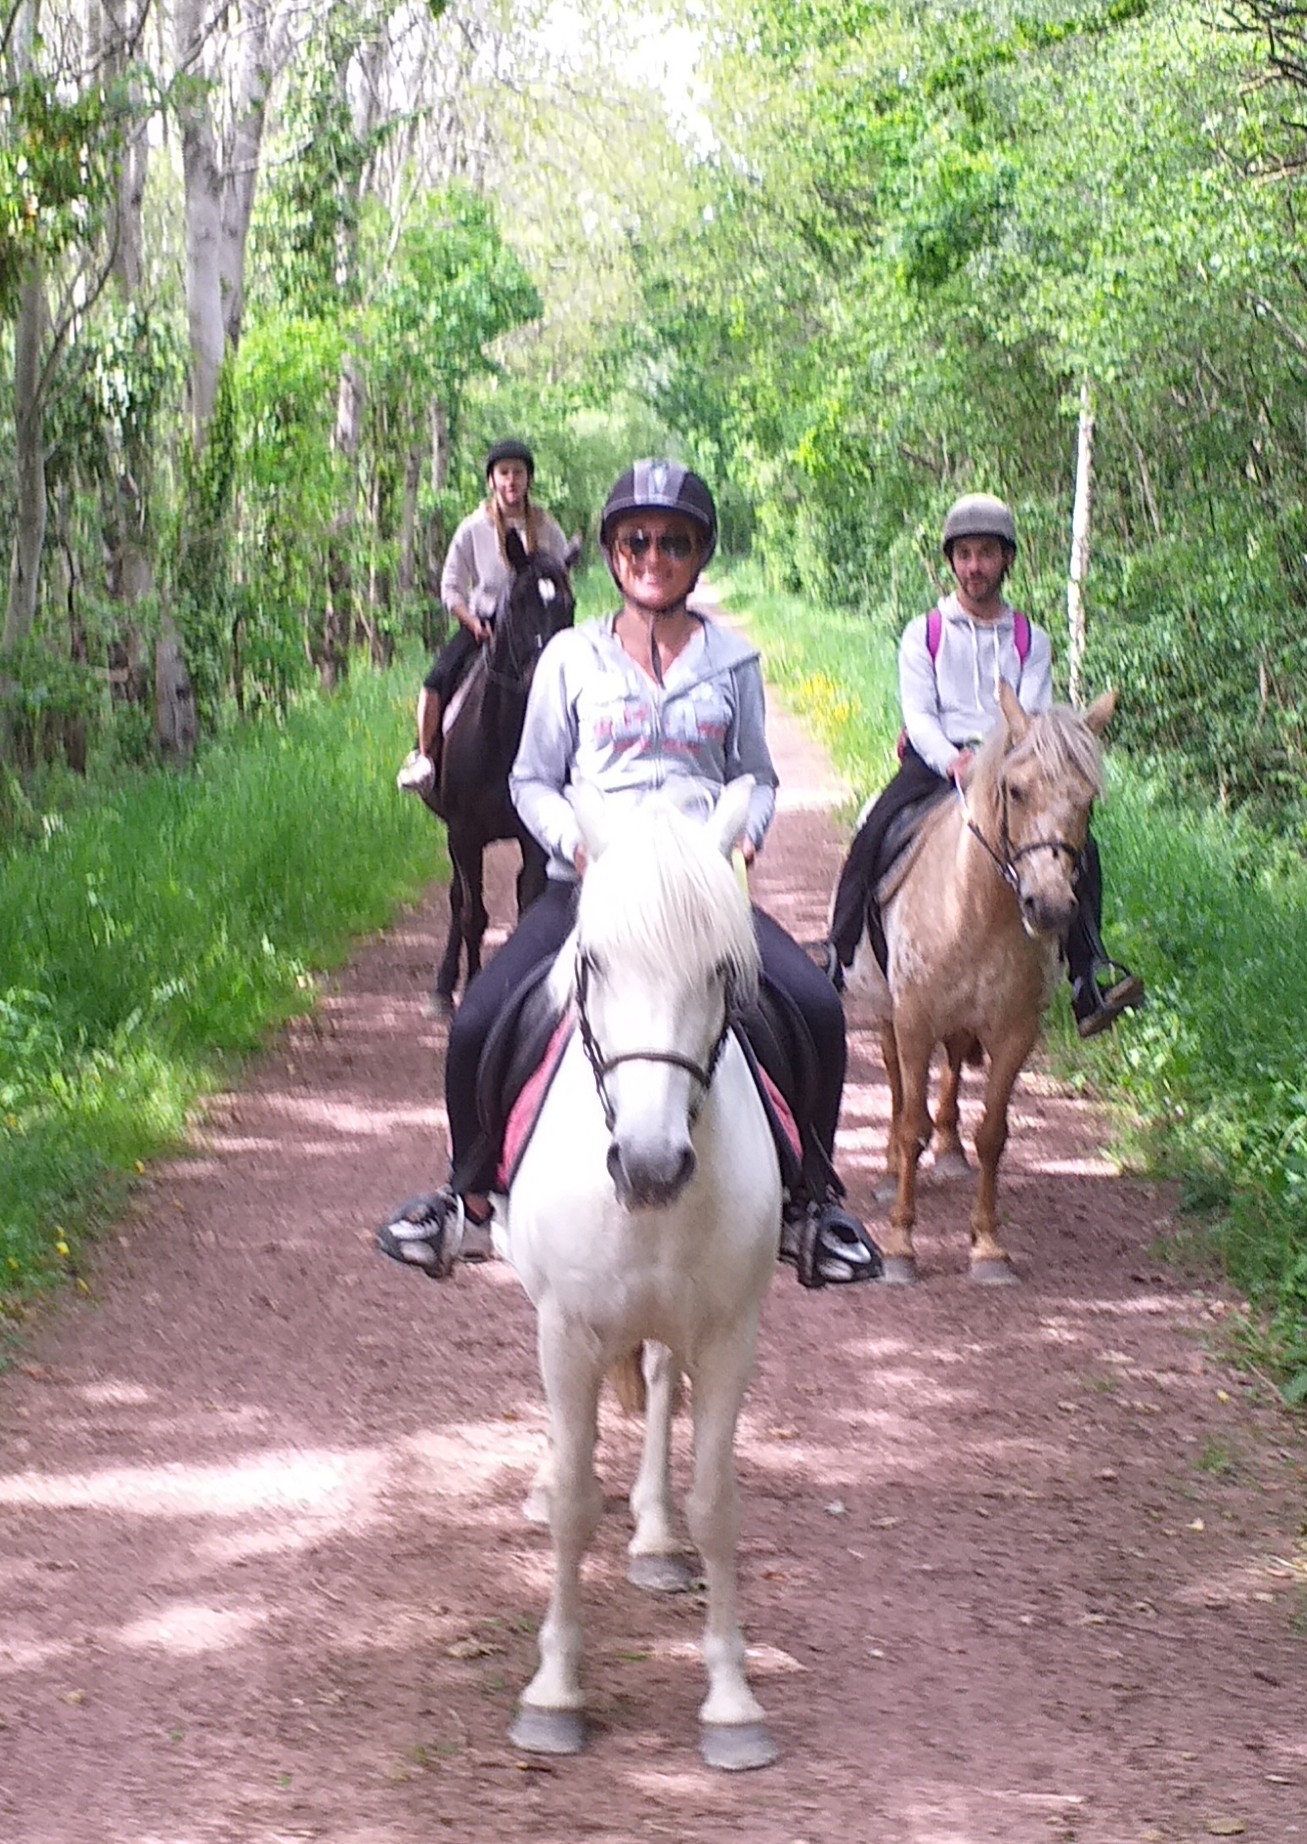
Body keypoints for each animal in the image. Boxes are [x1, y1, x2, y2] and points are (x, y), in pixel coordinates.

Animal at [423, 527, 575, 1017]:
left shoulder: (532, 839)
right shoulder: (464, 833)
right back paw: (443, 984)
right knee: (458, 899)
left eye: (569, 604)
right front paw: (471, 988)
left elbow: (527, 905)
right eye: (519, 603)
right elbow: (474, 914)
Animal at [497, 781, 785, 1770]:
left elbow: (717, 1504)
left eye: (721, 970)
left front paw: (731, 1702)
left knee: (660, 1381)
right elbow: (574, 1506)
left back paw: (654, 1537)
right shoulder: (564, 1330)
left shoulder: (733, 1333)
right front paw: (553, 1692)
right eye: (593, 962)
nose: (651, 1166)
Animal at [847, 678, 1113, 1283]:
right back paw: (891, 1171)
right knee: (897, 1084)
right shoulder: (914, 1019)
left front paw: (988, 1247)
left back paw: (950, 1154)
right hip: (886, 1008)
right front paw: (900, 1244)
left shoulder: (1015, 1032)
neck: (975, 911)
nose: (1050, 906)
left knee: (950, 1075)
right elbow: (908, 1122)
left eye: (1087, 799)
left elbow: (993, 1134)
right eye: (1015, 790)